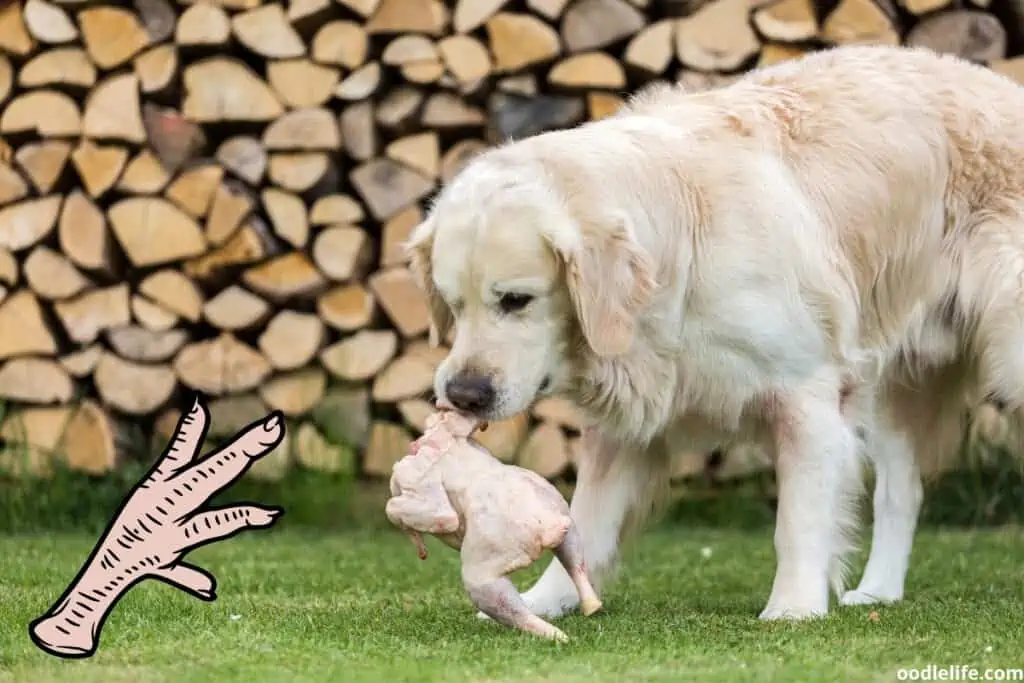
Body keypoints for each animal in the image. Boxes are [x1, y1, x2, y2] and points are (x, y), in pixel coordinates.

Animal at [403, 44, 1019, 618]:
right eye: (452, 306)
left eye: (516, 300)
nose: (464, 394)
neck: (679, 255)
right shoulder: (630, 415)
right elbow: (586, 519)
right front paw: (544, 601)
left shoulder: (806, 394)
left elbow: (798, 520)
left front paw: (792, 608)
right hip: (896, 382)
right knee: (901, 490)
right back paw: (879, 590)